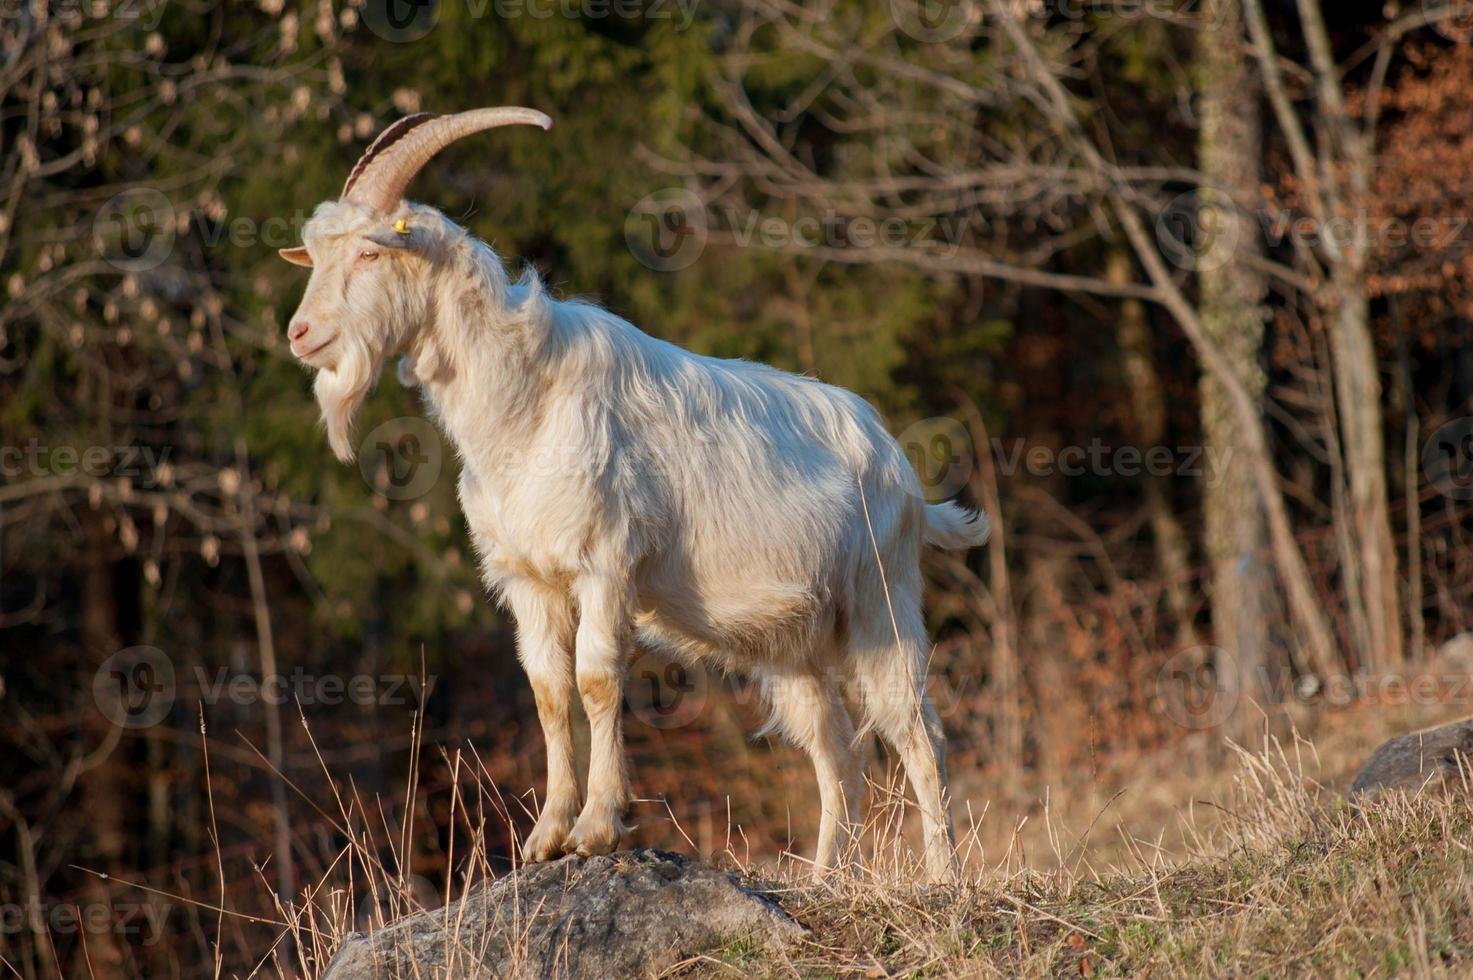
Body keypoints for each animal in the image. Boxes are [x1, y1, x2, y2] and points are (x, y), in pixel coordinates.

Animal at [278, 106, 989, 878]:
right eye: (315, 254)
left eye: (369, 254)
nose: (301, 334)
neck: (526, 403)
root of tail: (898, 465)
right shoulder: (529, 580)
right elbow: (548, 692)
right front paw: (544, 838)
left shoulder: (605, 564)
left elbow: (596, 681)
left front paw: (595, 829)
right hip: (793, 640)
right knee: (837, 749)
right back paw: (825, 879)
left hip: (879, 603)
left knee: (919, 732)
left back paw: (942, 877)